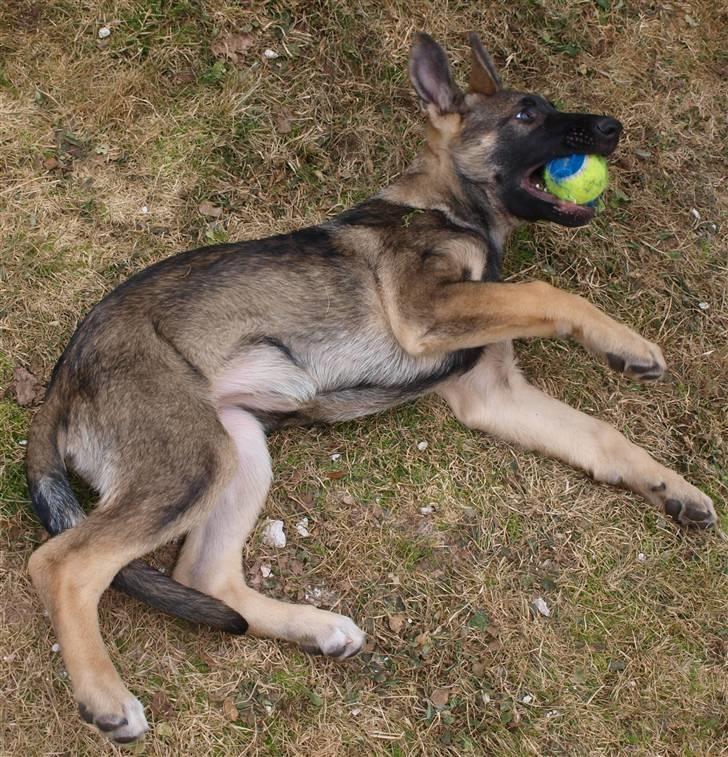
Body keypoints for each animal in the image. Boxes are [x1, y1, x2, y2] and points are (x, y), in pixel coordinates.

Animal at [24, 32, 716, 740]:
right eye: (526, 115)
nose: (613, 128)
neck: (450, 207)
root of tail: (61, 379)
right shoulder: (425, 309)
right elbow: (545, 291)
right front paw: (625, 343)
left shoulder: (491, 392)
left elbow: (603, 436)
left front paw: (672, 487)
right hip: (194, 458)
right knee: (61, 564)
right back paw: (106, 697)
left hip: (238, 445)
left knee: (203, 573)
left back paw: (317, 629)